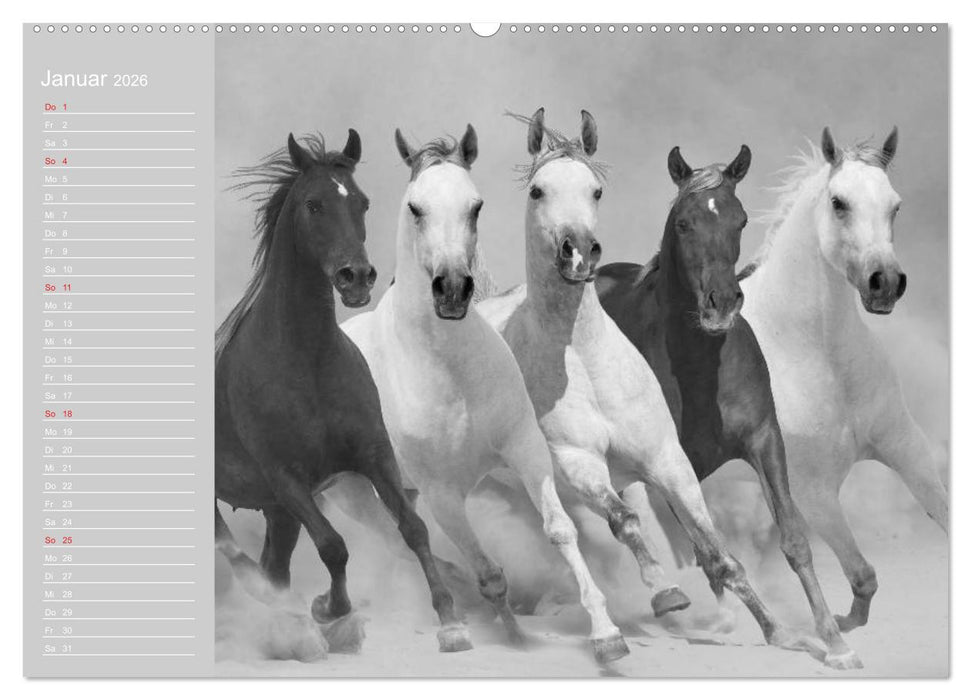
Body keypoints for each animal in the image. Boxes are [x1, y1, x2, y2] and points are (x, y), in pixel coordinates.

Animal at [213, 131, 471, 655]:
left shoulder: (372, 455)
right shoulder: (286, 478)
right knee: (231, 549)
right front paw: (331, 610)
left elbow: (413, 529)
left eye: (362, 203)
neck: (307, 361)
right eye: (313, 204)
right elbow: (334, 545)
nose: (357, 276)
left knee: (275, 564)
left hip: (279, 514)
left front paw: (451, 621)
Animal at [339, 125, 628, 664]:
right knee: (402, 542)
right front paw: (507, 635)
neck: (451, 371)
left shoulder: (524, 449)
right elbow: (489, 573)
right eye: (415, 207)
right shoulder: (442, 493)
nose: (452, 289)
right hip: (357, 495)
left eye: (475, 206)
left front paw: (605, 633)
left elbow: (560, 530)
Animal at [595, 145, 859, 669]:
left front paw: (835, 643)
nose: (722, 303)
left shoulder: (763, 439)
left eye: (739, 220)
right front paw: (775, 631)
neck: (701, 365)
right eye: (683, 223)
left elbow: (793, 538)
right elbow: (712, 552)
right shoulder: (671, 463)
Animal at [738, 127, 949, 633]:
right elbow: (862, 575)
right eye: (839, 202)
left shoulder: (908, 450)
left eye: (895, 205)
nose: (885, 282)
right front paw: (839, 625)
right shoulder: (812, 492)